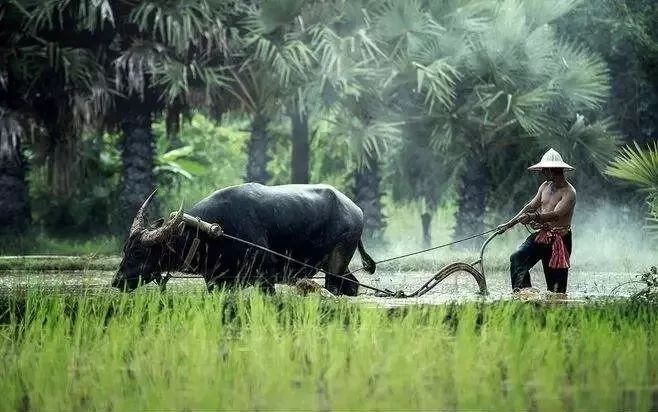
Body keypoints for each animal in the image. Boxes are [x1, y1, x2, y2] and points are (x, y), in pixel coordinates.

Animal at [111, 184, 374, 296]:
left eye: (138, 252)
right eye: (125, 249)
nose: (117, 281)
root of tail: (356, 209)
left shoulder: (264, 279)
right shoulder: (217, 282)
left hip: (336, 263)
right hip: (338, 266)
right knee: (351, 286)